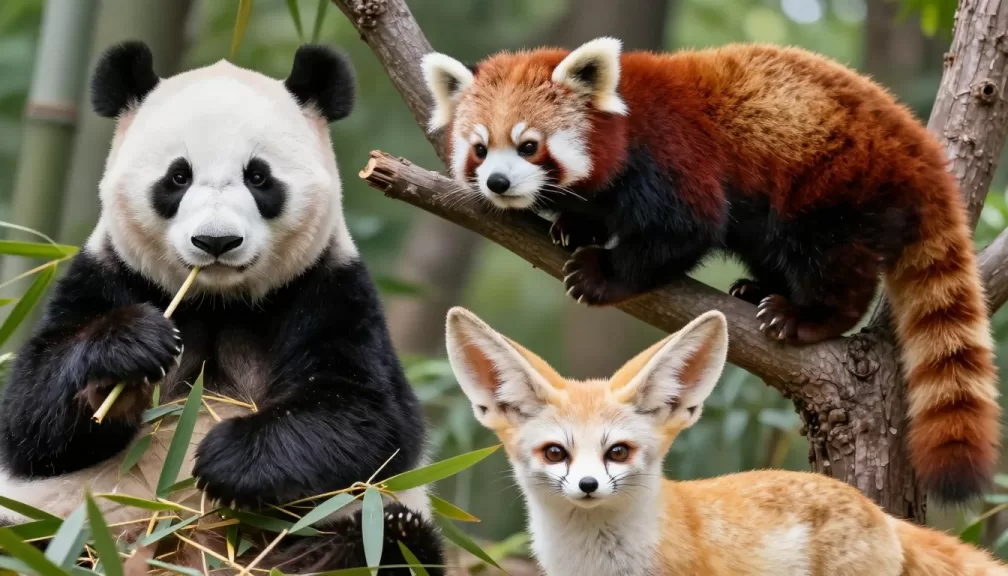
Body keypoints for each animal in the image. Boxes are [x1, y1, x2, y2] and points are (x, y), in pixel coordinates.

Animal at [0, 41, 444, 574]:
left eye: (258, 176)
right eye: (177, 176)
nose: (216, 242)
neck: (217, 302)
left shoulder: (327, 287)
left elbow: (367, 416)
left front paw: (226, 458)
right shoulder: (108, 276)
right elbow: (29, 419)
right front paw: (125, 361)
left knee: (386, 539)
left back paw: (327, 553)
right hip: (56, 529)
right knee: (28, 542)